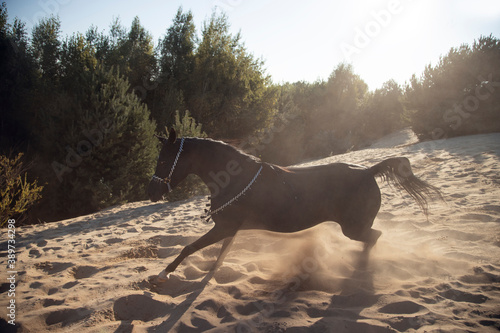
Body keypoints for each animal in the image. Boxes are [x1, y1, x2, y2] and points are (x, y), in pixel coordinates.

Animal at [147, 127, 442, 280]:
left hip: (354, 228)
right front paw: (209, 273)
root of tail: (369, 171)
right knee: (374, 236)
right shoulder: (230, 229)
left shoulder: (224, 227)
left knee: (375, 236)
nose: (151, 192)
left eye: (164, 160)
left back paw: (361, 265)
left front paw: (162, 274)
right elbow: (219, 254)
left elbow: (189, 248)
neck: (234, 178)